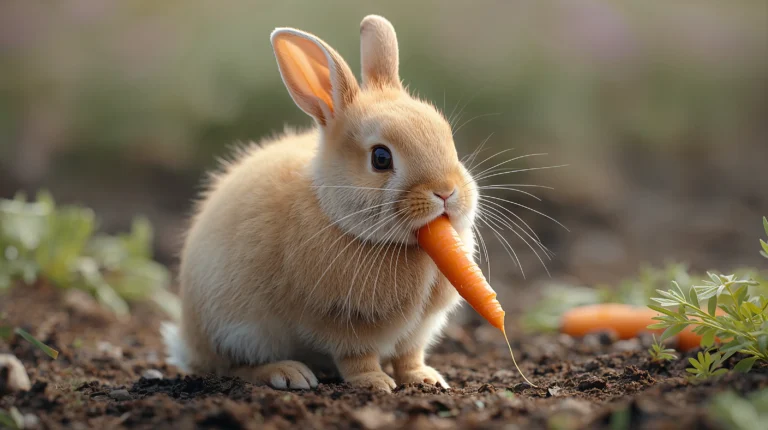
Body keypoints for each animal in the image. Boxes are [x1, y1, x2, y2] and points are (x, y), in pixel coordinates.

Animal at [161, 14, 479, 393]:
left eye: (448, 137)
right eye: (381, 158)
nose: (446, 192)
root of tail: (187, 343)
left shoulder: (418, 331)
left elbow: (409, 356)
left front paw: (427, 379)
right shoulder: (343, 323)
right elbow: (358, 357)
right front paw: (376, 383)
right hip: (239, 329)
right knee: (230, 367)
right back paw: (287, 373)